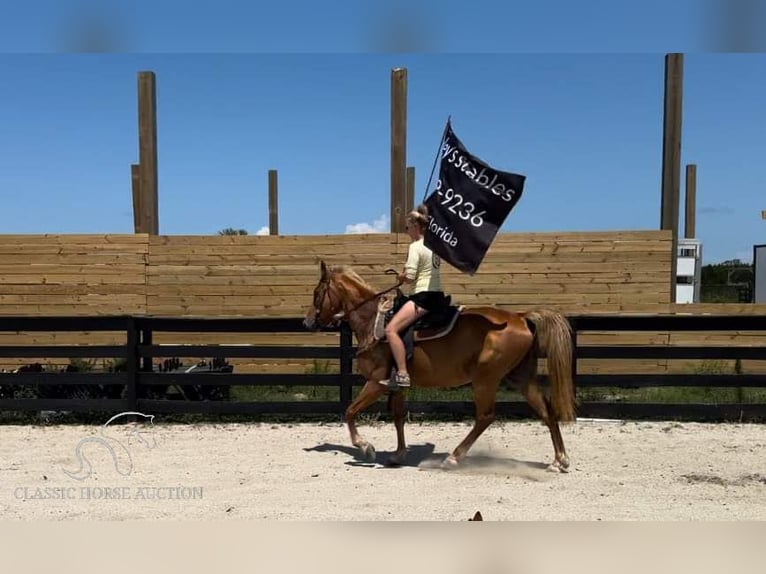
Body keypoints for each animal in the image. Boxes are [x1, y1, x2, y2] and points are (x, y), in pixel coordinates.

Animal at [302, 260, 576, 472]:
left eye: (316, 293)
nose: (307, 322)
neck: (375, 322)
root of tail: (520, 317)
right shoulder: (397, 386)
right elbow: (398, 417)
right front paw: (398, 455)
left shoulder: (376, 383)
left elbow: (349, 411)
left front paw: (365, 447)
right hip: (521, 377)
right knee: (547, 412)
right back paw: (559, 461)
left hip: (485, 380)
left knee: (485, 417)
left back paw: (453, 458)